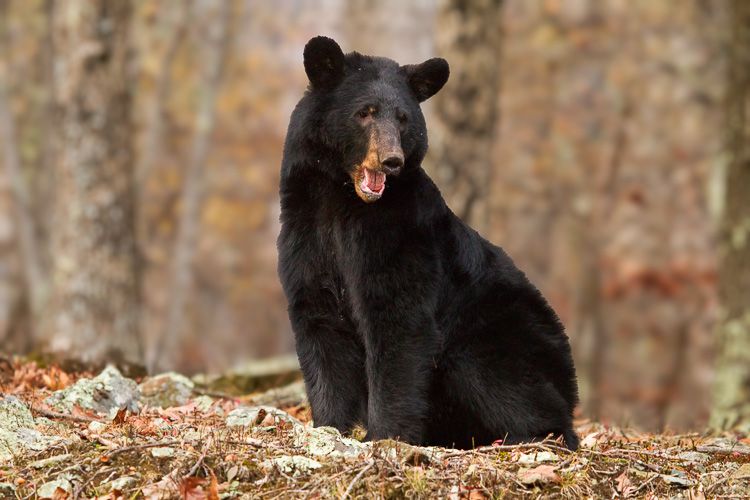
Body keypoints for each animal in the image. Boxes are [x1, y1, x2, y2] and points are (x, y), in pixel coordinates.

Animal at [277, 36, 579, 450]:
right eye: (365, 113)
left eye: (403, 118)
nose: (392, 161)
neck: (341, 199)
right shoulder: (305, 235)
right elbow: (320, 326)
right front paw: (329, 427)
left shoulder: (400, 235)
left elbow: (398, 323)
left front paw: (385, 435)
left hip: (503, 337)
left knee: (502, 381)